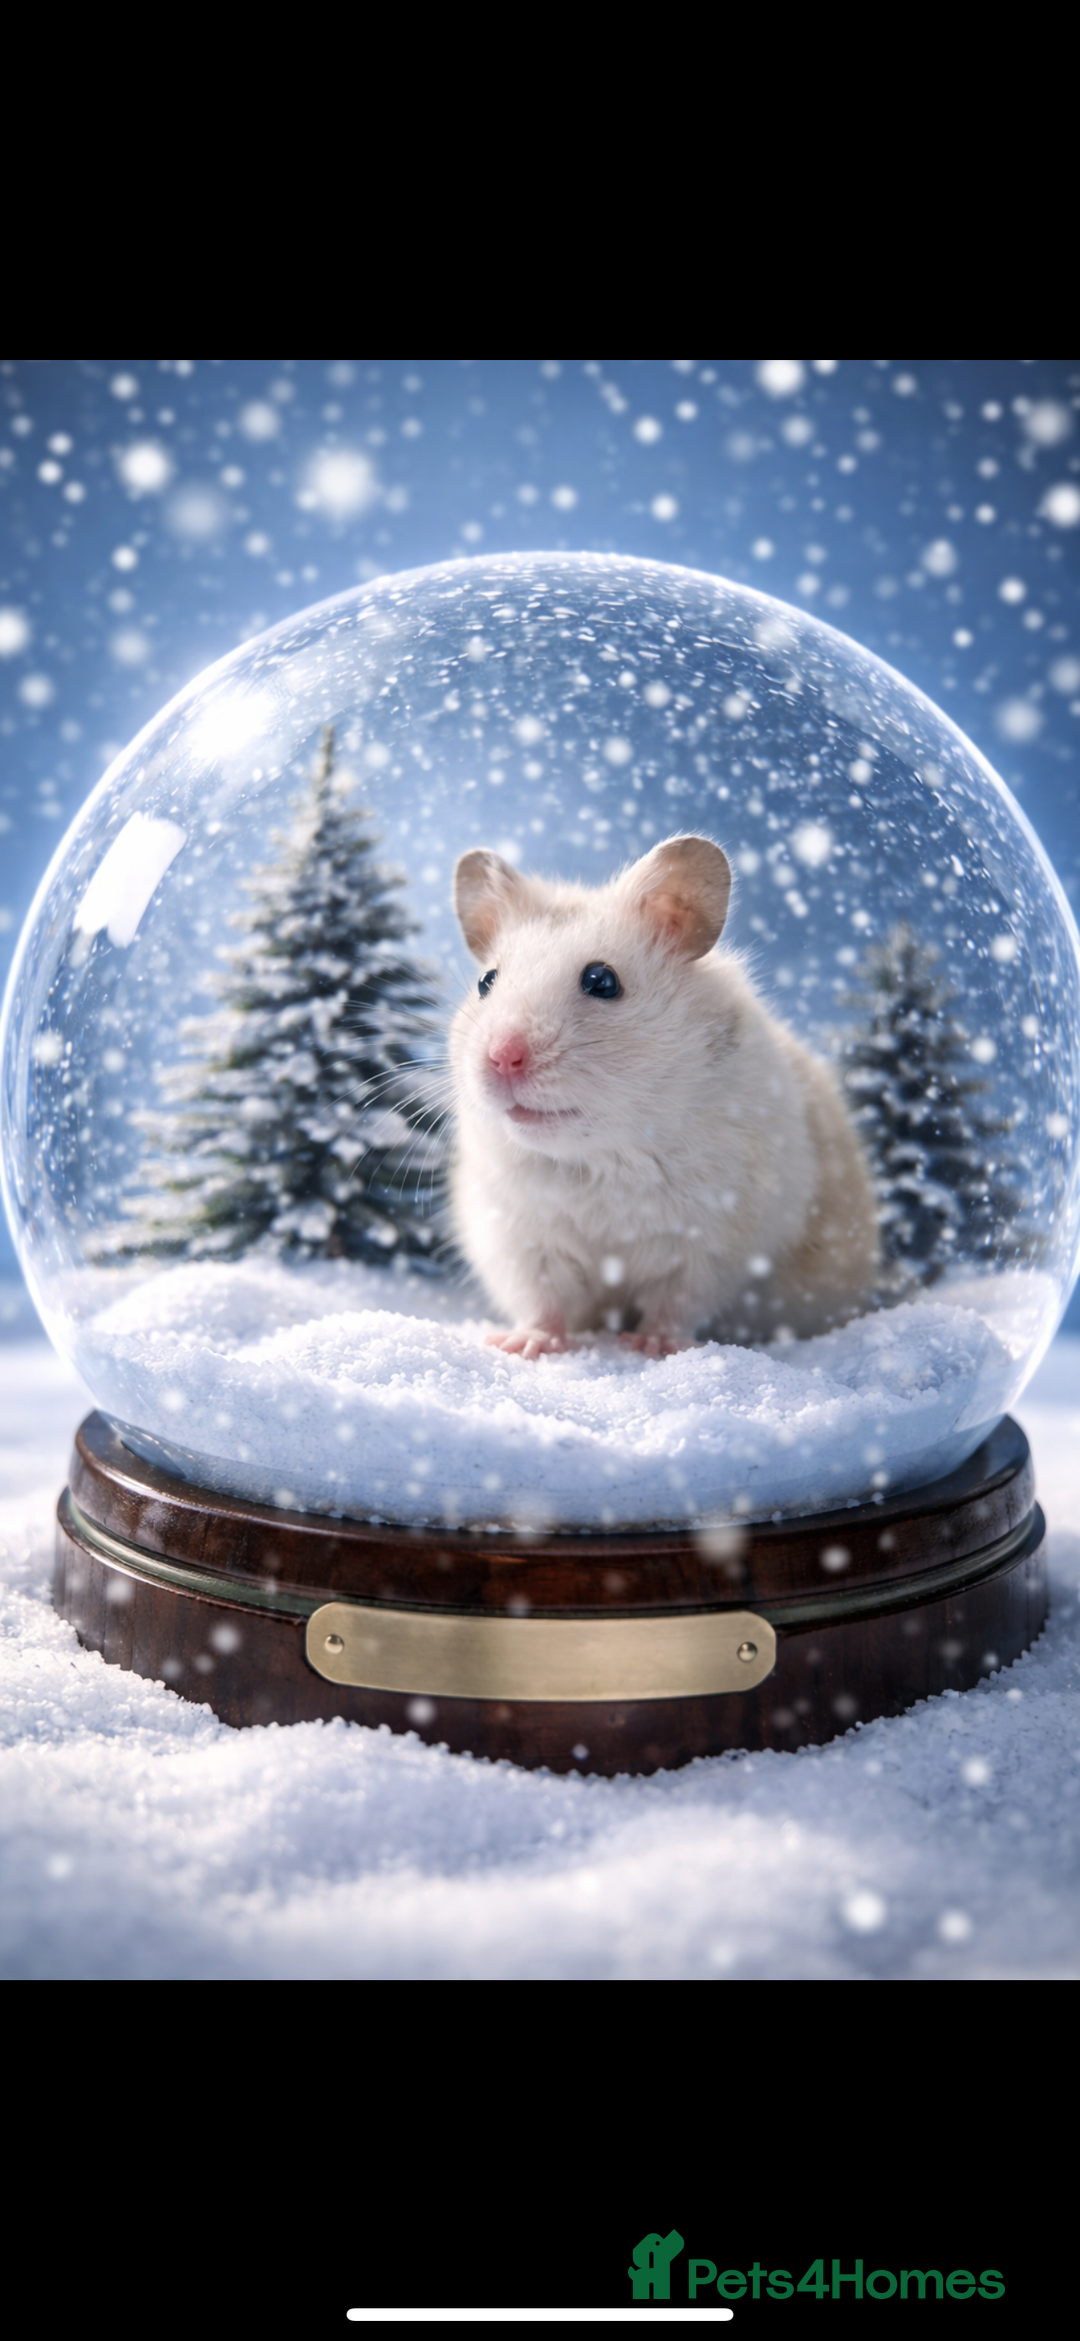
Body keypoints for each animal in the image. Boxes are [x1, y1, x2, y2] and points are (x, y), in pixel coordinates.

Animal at [449, 834, 879, 1358]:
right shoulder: (517, 1235)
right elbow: (541, 1298)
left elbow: (676, 1300)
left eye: (602, 981)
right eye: (486, 982)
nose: (501, 1057)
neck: (602, 1156)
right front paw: (521, 1345)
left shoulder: (714, 1239)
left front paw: (650, 1345)